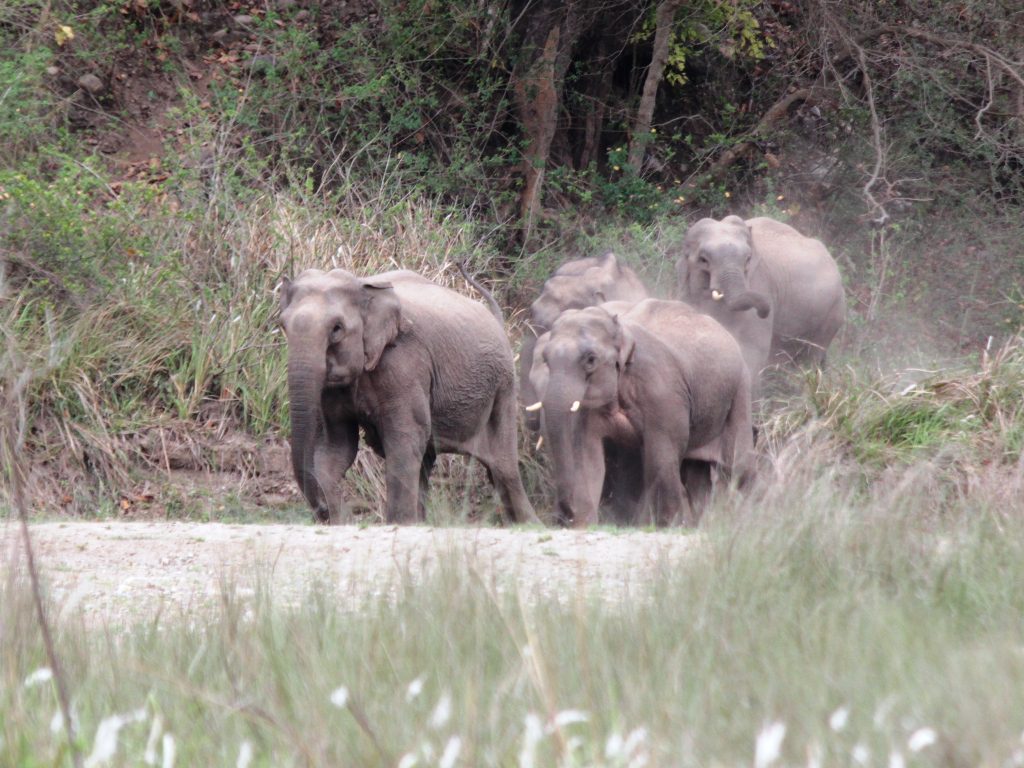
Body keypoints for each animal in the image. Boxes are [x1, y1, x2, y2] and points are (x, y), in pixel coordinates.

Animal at [278, 268, 538, 525]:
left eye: (337, 329)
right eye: (282, 325)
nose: (321, 511)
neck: (363, 285)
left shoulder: (404, 363)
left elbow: (404, 438)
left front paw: (397, 524)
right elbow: (337, 447)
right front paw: (341, 520)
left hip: (504, 387)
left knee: (504, 469)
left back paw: (529, 524)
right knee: (429, 463)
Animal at [528, 299, 755, 528]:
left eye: (590, 359)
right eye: (546, 359)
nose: (566, 514)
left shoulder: (662, 394)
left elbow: (661, 456)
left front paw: (668, 525)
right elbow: (586, 454)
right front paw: (583, 524)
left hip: (740, 391)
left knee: (738, 466)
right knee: (696, 471)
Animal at [676, 216, 846, 398]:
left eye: (748, 259)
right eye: (703, 259)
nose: (765, 310)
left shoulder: (758, 282)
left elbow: (753, 348)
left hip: (833, 314)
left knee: (812, 357)